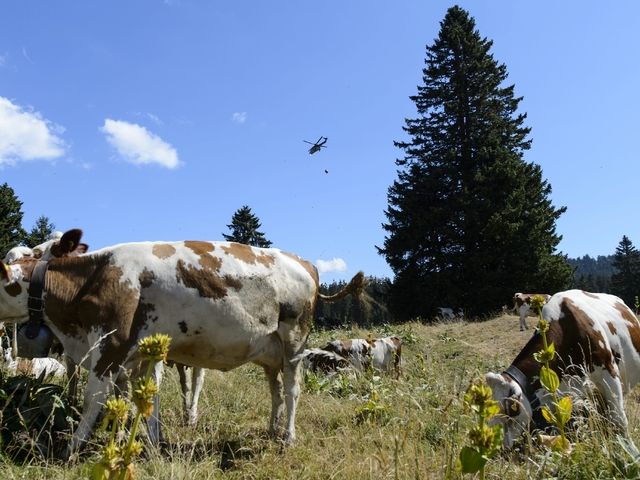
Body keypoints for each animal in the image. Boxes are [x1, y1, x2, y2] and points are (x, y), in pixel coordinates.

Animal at [0, 231, 368, 460]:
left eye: (34, 253)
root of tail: (303, 262)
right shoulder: (136, 354)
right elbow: (141, 397)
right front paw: (145, 443)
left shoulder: (111, 344)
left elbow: (95, 399)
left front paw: (72, 450)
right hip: (270, 351)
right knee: (276, 391)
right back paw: (272, 430)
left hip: (293, 340)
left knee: (292, 391)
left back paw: (288, 438)